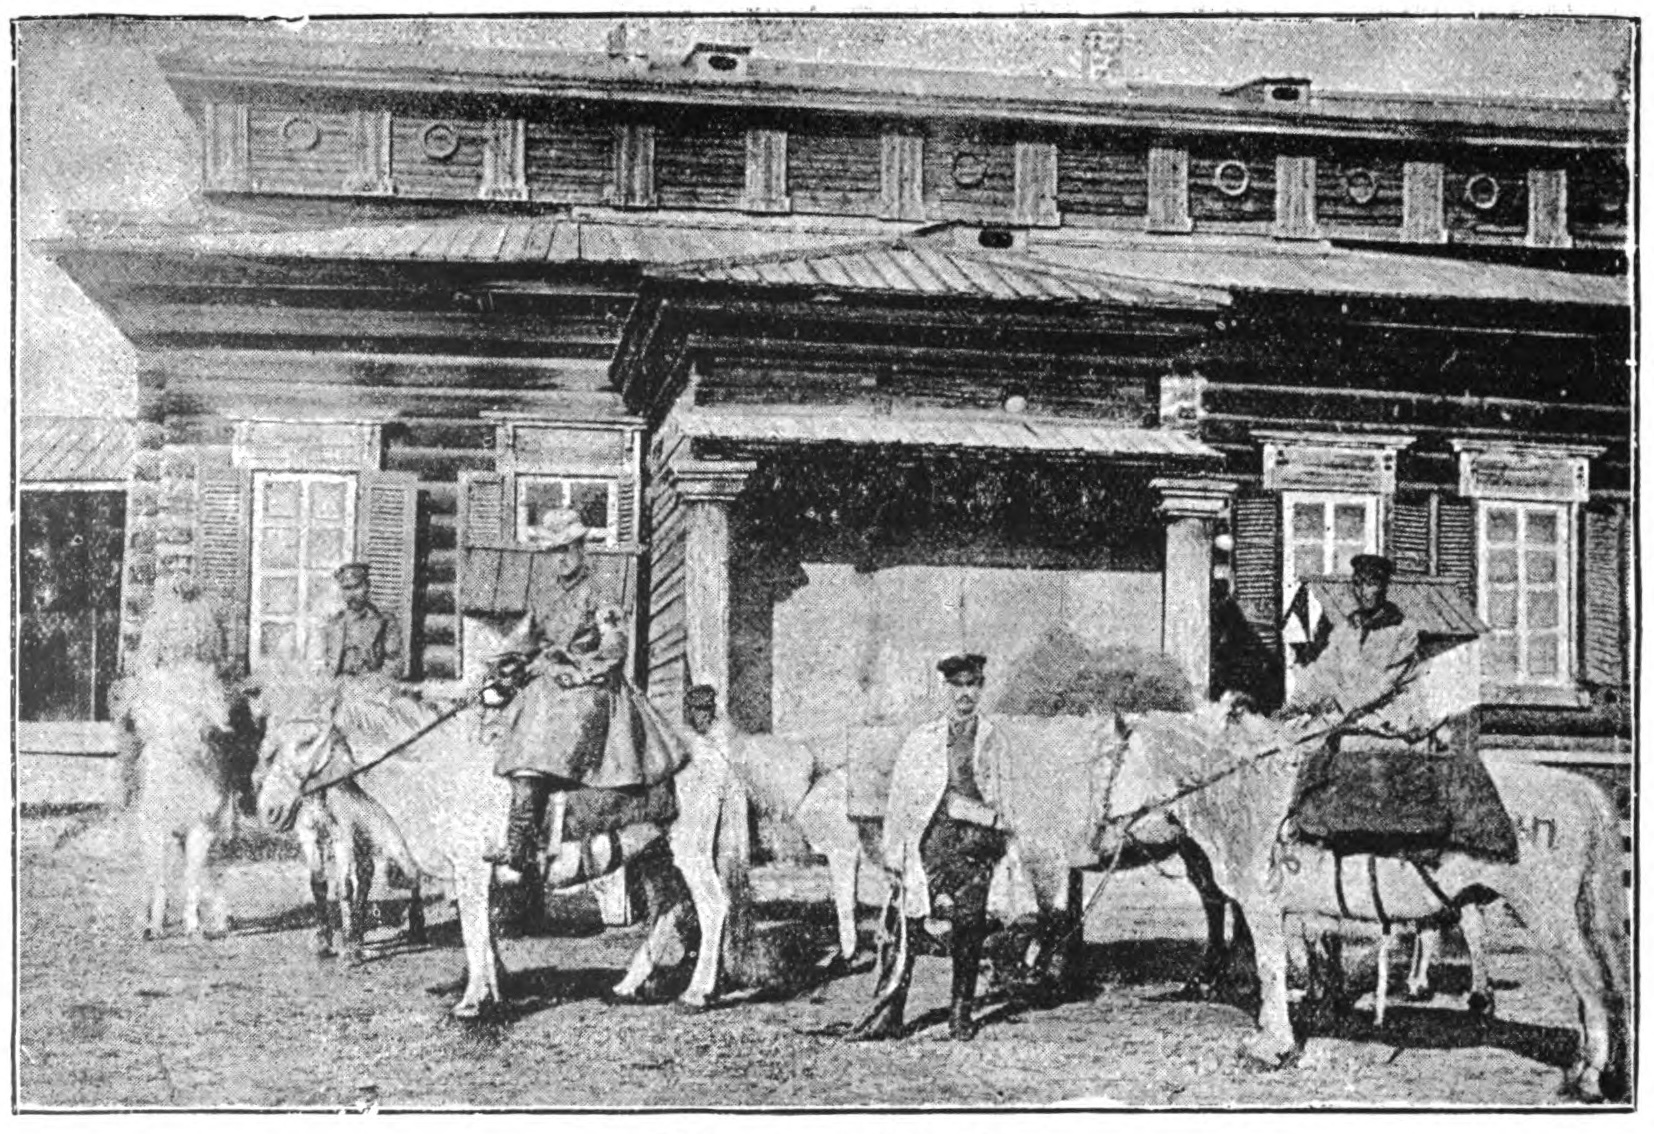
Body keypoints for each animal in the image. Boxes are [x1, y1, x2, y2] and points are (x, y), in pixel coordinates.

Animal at [130, 667, 238, 938]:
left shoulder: (202, 828)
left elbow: (194, 878)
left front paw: (193, 925)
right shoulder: (157, 830)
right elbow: (159, 881)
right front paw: (154, 926)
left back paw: (220, 920)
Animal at [256, 681, 750, 1018]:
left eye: (306, 742)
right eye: (270, 746)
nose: (269, 809)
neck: (443, 771)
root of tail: (714, 757)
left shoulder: (471, 871)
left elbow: (473, 932)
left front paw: (473, 1001)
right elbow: (485, 934)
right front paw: (495, 989)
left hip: (690, 851)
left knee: (712, 907)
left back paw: (697, 993)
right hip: (653, 853)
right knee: (667, 911)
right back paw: (628, 986)